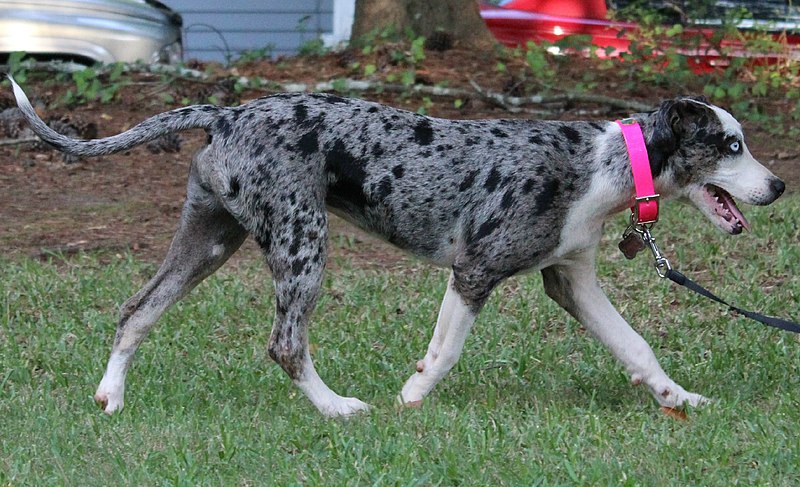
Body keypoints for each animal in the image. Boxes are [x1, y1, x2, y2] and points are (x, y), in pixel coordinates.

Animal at [9, 78, 784, 418]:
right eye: (730, 145)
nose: (778, 186)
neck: (605, 163)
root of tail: (227, 111)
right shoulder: (475, 272)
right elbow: (442, 353)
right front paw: (411, 401)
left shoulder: (573, 280)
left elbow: (637, 348)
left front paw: (679, 396)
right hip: (302, 246)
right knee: (285, 344)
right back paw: (337, 409)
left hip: (208, 242)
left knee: (136, 311)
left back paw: (110, 396)